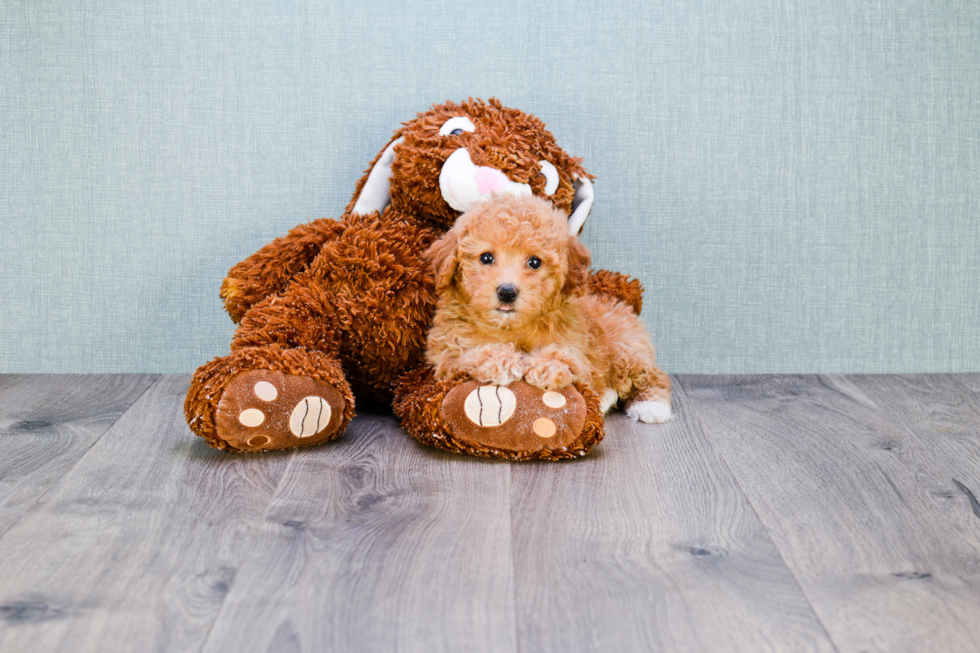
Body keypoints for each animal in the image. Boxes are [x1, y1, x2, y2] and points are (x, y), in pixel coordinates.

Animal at [428, 194, 672, 422]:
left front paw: (548, 366)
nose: (507, 292)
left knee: (653, 376)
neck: (512, 327)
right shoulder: (444, 352)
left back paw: (651, 405)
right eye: (486, 258)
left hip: (627, 350)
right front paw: (498, 359)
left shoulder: (580, 350)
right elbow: (465, 353)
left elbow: (569, 358)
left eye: (535, 262)